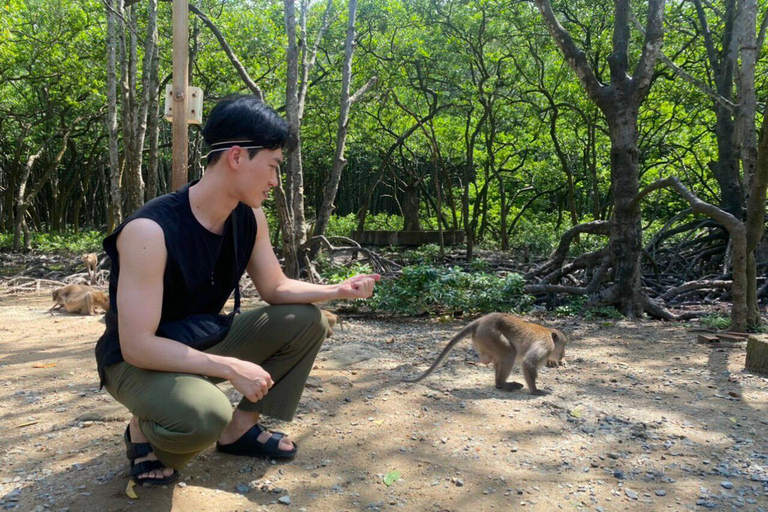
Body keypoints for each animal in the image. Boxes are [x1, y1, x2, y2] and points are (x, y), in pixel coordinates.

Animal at [403, 313, 567, 395]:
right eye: (564, 344)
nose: (562, 355)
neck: (549, 335)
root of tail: (481, 320)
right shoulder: (545, 345)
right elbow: (528, 363)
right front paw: (535, 390)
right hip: (489, 334)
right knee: (510, 353)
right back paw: (502, 384)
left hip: (484, 338)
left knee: (499, 357)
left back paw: (499, 383)